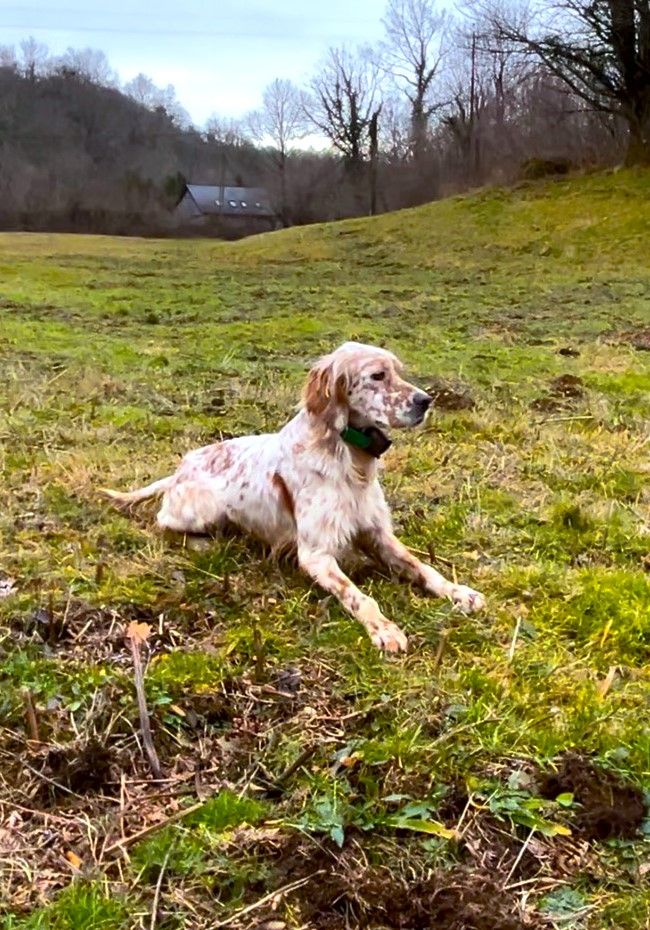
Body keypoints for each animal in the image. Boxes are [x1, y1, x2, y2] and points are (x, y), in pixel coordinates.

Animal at [101, 340, 484, 652]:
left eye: (398, 372)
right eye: (378, 375)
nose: (426, 400)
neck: (348, 456)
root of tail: (179, 469)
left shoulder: (377, 534)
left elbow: (424, 568)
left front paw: (459, 592)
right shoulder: (315, 554)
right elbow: (359, 597)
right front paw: (384, 629)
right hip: (203, 508)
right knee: (163, 522)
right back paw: (205, 543)